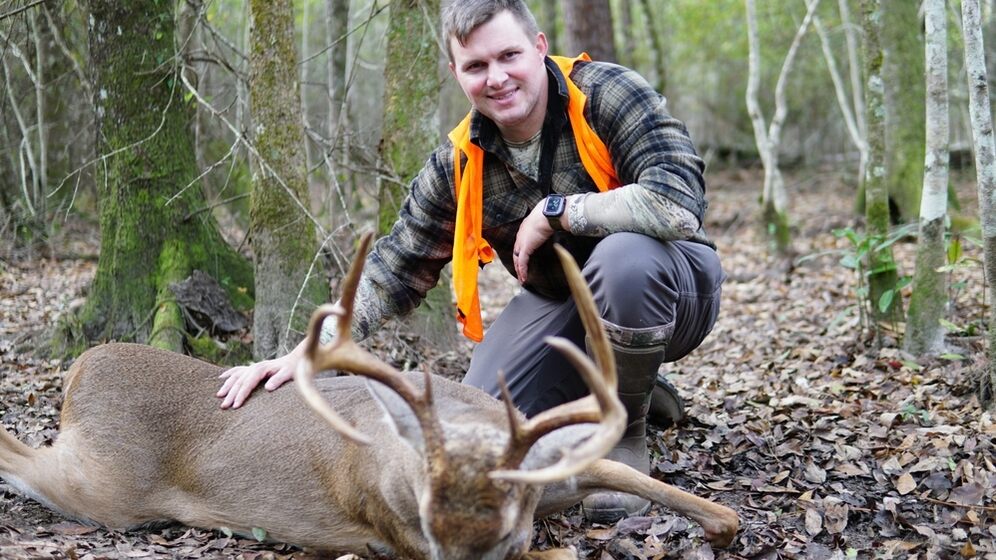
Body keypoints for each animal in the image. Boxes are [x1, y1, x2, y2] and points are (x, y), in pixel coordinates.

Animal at [0, 233, 739, 560]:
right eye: (426, 525)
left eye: (502, 530)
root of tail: (80, 371)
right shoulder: (398, 534)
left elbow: (654, 484)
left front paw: (719, 523)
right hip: (102, 482)